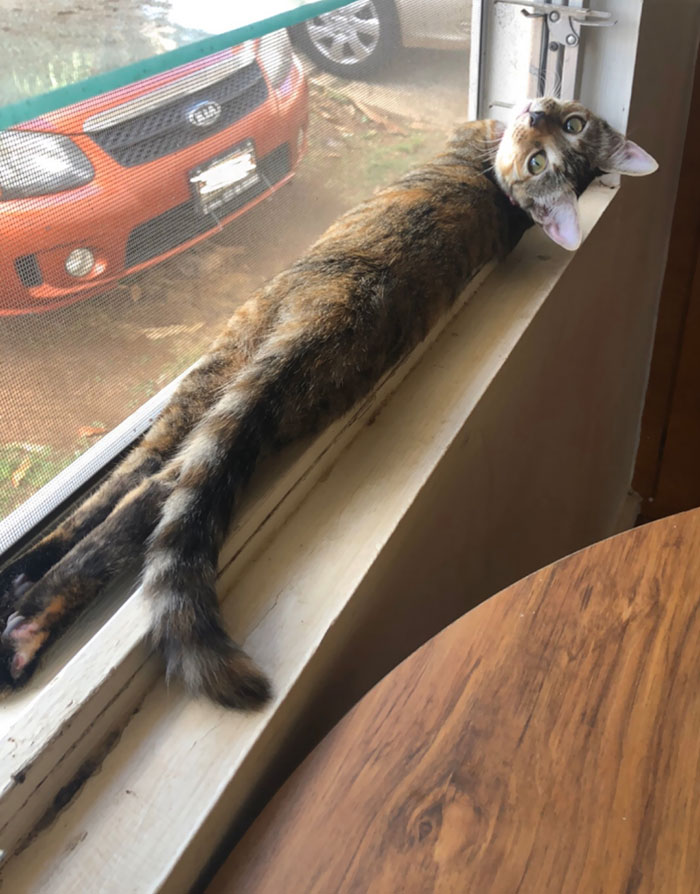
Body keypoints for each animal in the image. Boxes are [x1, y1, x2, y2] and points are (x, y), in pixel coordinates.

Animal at [0, 101, 656, 712]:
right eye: (567, 130)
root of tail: (329, 318)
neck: (498, 188)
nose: (537, 112)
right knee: (147, 486)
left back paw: (23, 614)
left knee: (132, 495)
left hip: (222, 363)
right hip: (234, 404)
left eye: (543, 152)